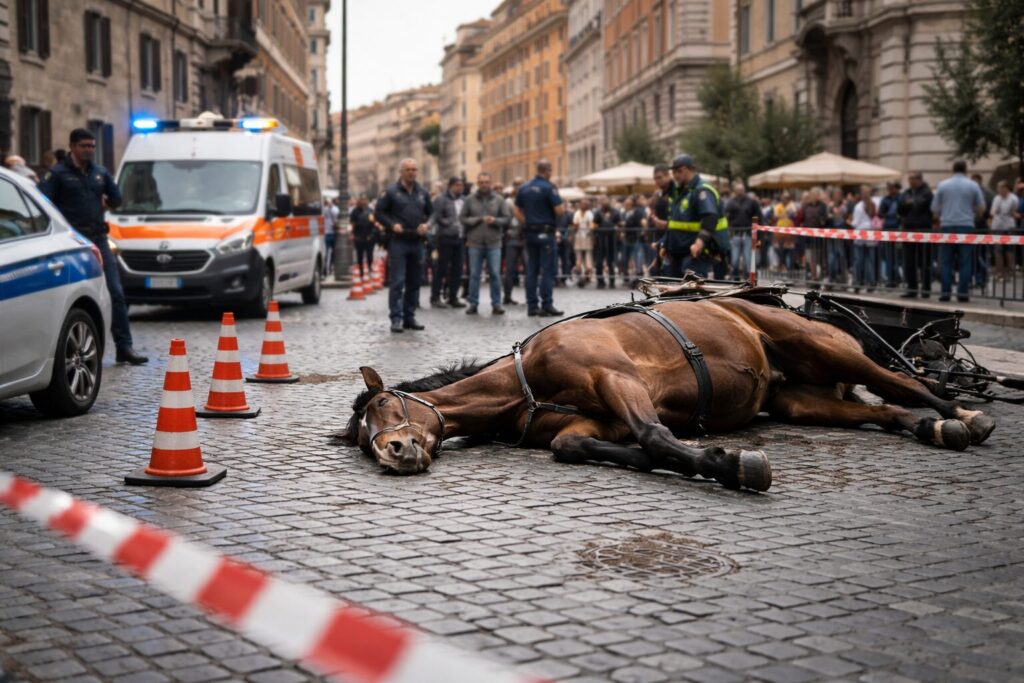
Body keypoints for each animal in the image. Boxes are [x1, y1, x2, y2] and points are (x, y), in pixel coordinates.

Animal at [338, 297, 996, 492]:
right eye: (365, 440)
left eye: (384, 406)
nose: (393, 452)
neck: (523, 384)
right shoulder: (585, 428)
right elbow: (579, 448)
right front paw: (708, 458)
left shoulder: (618, 379)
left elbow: (655, 434)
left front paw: (731, 465)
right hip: (798, 400)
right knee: (883, 409)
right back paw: (929, 426)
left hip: (821, 346)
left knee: (903, 381)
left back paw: (961, 412)